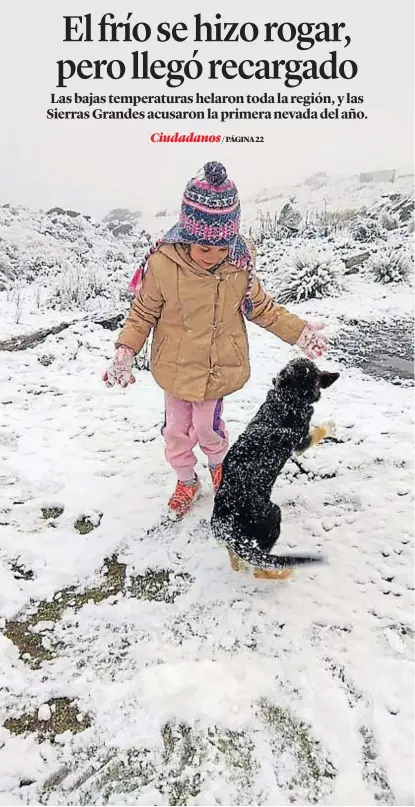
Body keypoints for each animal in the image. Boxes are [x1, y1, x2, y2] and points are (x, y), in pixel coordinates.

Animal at [211, 360, 342, 580]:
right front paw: (330, 425)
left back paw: (241, 565)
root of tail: (224, 520)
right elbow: (318, 432)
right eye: (316, 374)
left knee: (237, 558)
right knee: (260, 568)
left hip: (242, 541)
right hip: (273, 518)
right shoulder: (301, 443)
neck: (286, 399)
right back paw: (284, 573)